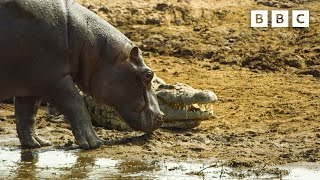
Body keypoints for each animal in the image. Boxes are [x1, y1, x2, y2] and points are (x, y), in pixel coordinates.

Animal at [0, 0, 164, 149]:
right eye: (148, 74)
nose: (161, 116)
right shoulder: (56, 79)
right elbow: (77, 105)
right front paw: (95, 143)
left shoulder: (31, 84)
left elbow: (27, 114)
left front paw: (37, 143)